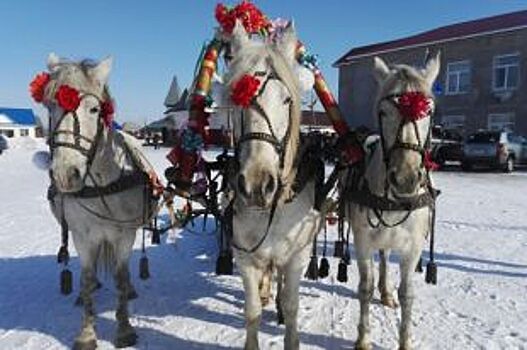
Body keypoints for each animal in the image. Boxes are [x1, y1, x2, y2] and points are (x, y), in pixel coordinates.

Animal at [41, 54, 157, 350]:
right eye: (50, 107)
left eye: (94, 109)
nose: (65, 174)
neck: (102, 186)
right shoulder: (83, 236)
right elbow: (86, 277)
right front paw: (86, 332)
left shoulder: (124, 234)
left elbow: (120, 276)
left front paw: (125, 329)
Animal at [226, 22, 324, 350]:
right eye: (237, 101)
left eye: (286, 99)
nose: (257, 185)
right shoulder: (244, 257)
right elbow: (252, 310)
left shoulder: (296, 258)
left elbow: (293, 305)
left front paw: (286, 314)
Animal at [344, 54, 444, 350]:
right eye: (384, 111)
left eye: (428, 112)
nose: (405, 179)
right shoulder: (363, 241)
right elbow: (365, 287)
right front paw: (363, 337)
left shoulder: (412, 248)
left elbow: (407, 293)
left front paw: (405, 340)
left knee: (386, 257)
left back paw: (386, 292)